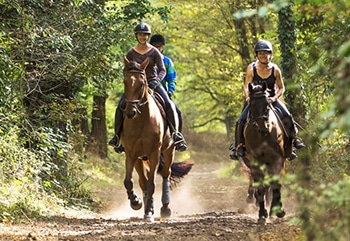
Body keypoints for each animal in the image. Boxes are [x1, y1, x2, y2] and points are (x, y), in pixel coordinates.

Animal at [119, 56, 191, 222]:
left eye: (142, 83)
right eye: (125, 82)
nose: (130, 112)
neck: (141, 120)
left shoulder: (154, 153)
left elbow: (152, 184)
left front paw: (149, 211)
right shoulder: (131, 153)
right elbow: (129, 181)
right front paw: (137, 202)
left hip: (169, 151)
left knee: (165, 175)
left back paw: (165, 208)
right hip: (141, 158)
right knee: (142, 181)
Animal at [241, 83, 290, 224]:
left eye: (267, 105)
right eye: (251, 106)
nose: (263, 129)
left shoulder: (278, 159)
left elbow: (275, 183)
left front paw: (278, 210)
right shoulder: (254, 161)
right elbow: (260, 186)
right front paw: (262, 214)